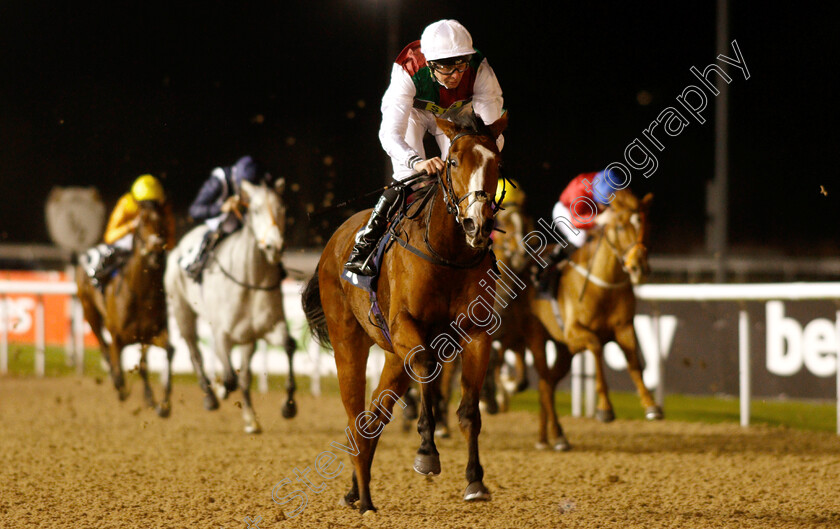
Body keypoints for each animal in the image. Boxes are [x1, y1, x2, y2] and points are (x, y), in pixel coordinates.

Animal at [75, 200, 174, 414]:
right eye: (143, 221)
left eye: (163, 221)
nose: (155, 251)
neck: (141, 294)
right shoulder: (118, 337)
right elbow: (118, 363)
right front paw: (121, 387)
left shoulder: (150, 333)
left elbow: (161, 355)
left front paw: (161, 403)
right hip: (89, 311)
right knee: (103, 346)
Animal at [164, 177, 296, 434]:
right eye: (255, 210)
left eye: (284, 209)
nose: (274, 246)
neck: (251, 281)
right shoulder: (221, 333)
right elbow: (228, 376)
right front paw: (220, 388)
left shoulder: (267, 328)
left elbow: (288, 346)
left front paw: (288, 406)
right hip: (182, 311)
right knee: (195, 353)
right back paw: (210, 396)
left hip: (246, 338)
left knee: (243, 374)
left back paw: (249, 417)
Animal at [306, 110, 508, 512]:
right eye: (453, 161)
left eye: (495, 162)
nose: (476, 223)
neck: (447, 254)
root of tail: (334, 241)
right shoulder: (407, 327)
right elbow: (428, 368)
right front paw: (427, 452)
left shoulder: (476, 335)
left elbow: (469, 412)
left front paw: (475, 480)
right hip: (349, 344)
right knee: (355, 419)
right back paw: (365, 500)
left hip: (393, 358)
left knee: (372, 420)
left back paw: (357, 491)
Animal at [528, 188, 660, 448]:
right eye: (619, 226)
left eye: (647, 224)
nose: (639, 268)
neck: (604, 285)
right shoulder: (575, 332)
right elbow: (598, 348)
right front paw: (605, 409)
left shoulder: (624, 327)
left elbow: (635, 362)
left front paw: (651, 405)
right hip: (538, 337)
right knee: (545, 382)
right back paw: (553, 435)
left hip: (564, 351)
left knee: (546, 384)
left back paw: (551, 437)